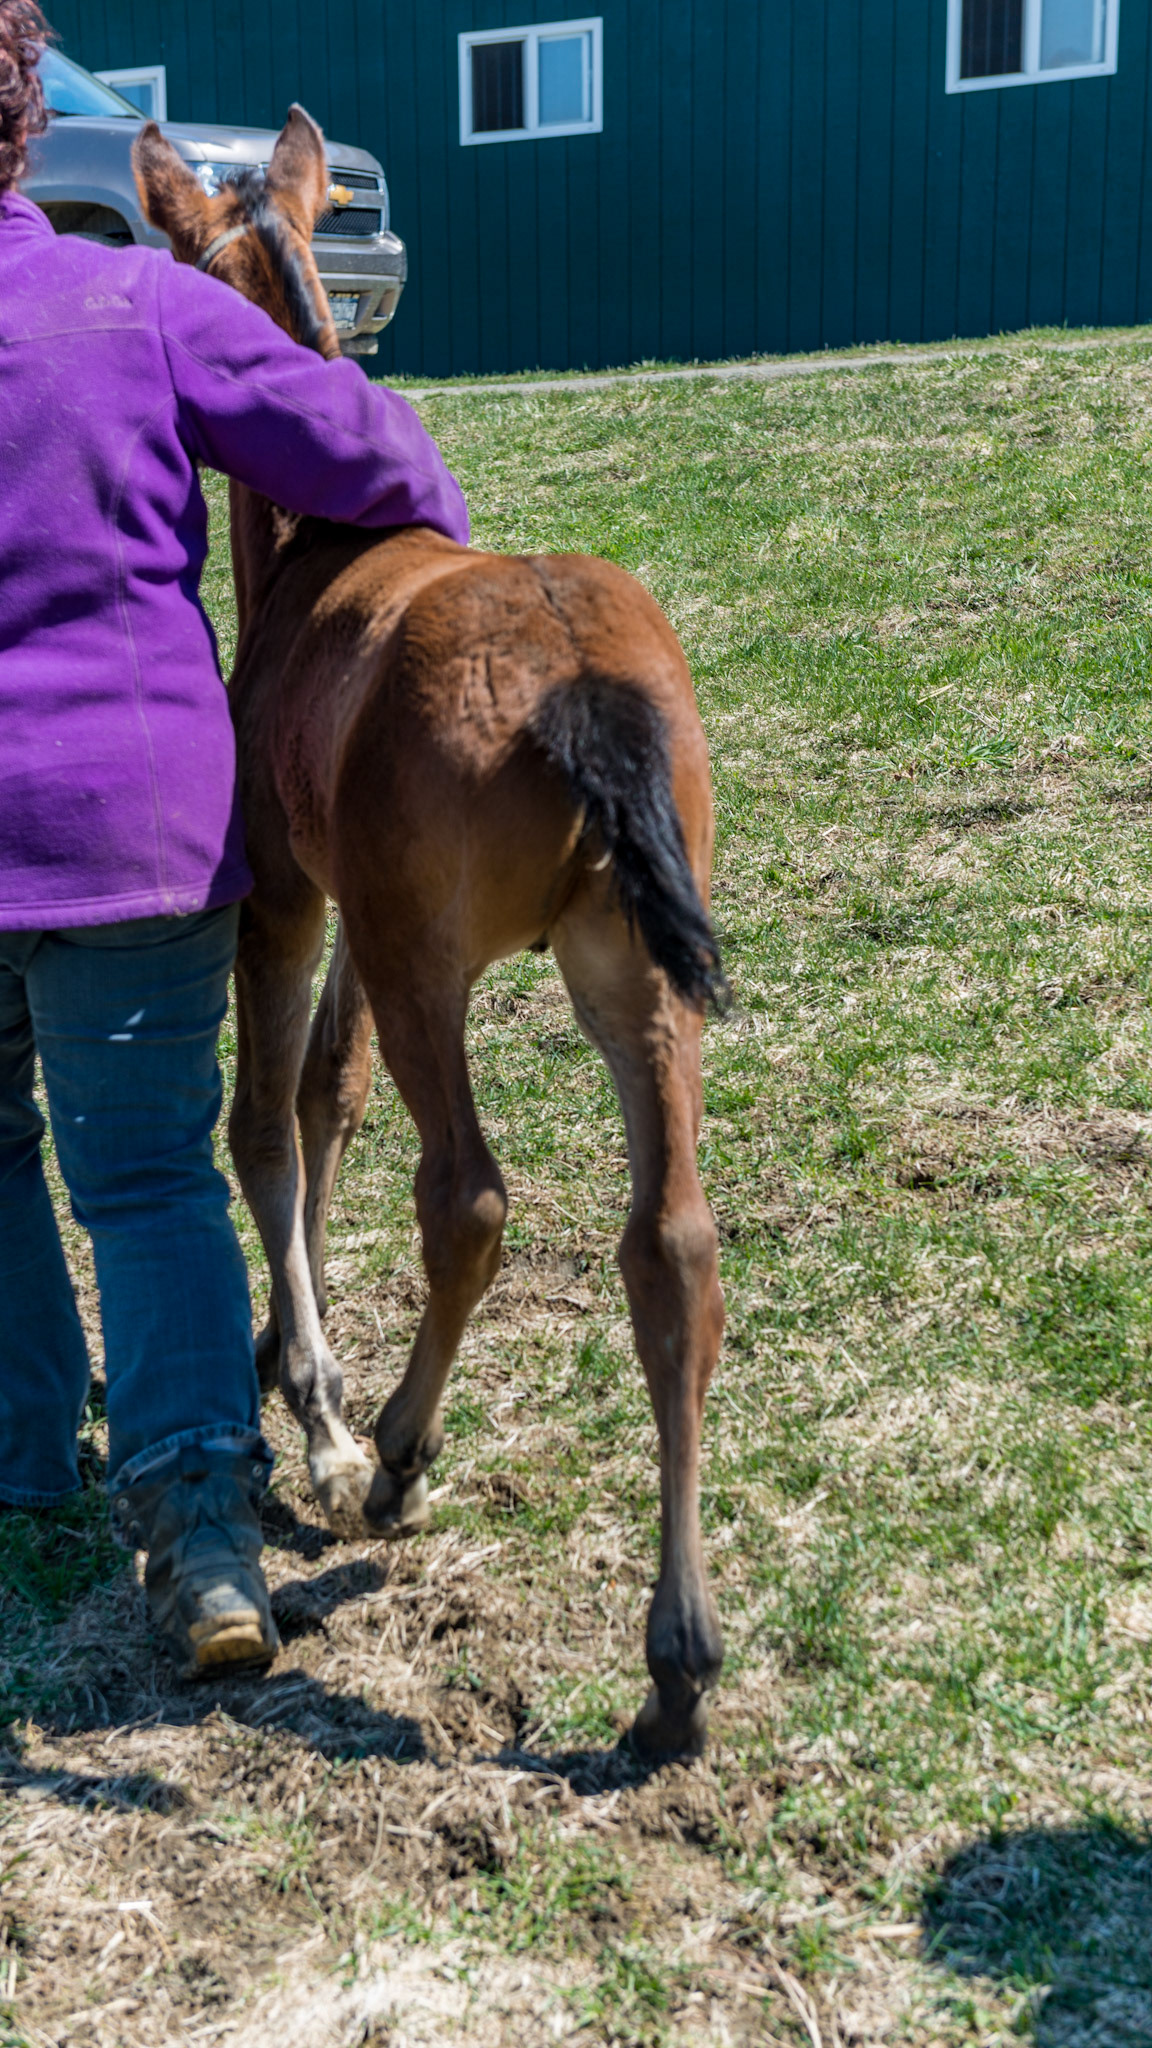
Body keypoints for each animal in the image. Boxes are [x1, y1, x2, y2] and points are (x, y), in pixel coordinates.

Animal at [133, 107, 728, 1759]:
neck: (324, 551)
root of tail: (585, 682)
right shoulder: (355, 905)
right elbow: (322, 1095)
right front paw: (288, 1352)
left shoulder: (290, 895)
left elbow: (269, 1114)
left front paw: (315, 1389)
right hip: (625, 974)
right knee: (673, 1247)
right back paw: (676, 1660)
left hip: (433, 971)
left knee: (466, 1199)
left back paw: (400, 1450)